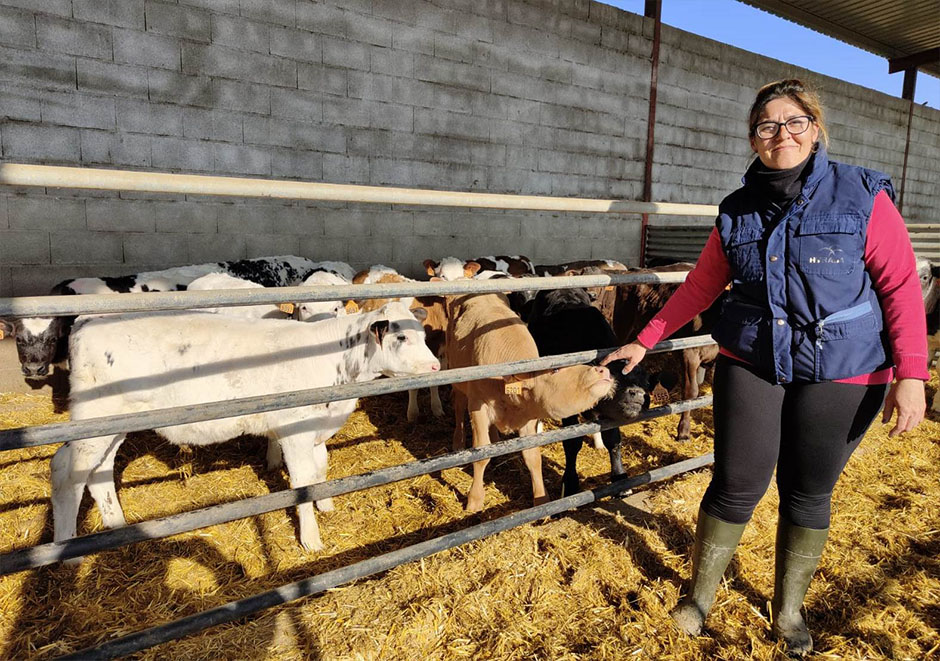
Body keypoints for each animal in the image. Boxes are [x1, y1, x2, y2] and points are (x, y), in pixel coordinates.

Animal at [55, 300, 440, 556]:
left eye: (423, 335)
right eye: (401, 339)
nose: (437, 366)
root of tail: (88, 320)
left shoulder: (317, 427)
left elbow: (321, 469)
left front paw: (326, 506)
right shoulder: (295, 431)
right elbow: (303, 482)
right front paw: (311, 539)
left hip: (116, 423)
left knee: (99, 471)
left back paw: (116, 527)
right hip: (94, 416)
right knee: (65, 470)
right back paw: (65, 551)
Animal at [444, 292, 612, 512]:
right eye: (555, 369)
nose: (602, 369)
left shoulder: (528, 418)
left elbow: (533, 457)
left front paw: (542, 501)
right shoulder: (477, 406)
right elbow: (481, 453)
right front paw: (474, 501)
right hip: (457, 377)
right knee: (458, 406)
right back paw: (457, 442)